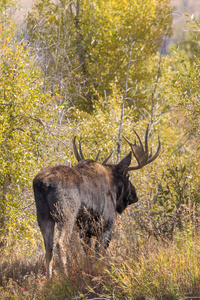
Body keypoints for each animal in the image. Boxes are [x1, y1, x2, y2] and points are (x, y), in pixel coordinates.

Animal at [33, 125, 161, 278]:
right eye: (128, 176)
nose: (135, 195)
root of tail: (43, 183)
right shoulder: (106, 225)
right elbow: (100, 253)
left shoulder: (85, 230)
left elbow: (88, 253)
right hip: (66, 214)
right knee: (61, 243)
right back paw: (65, 275)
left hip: (43, 216)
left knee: (48, 246)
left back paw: (49, 279)